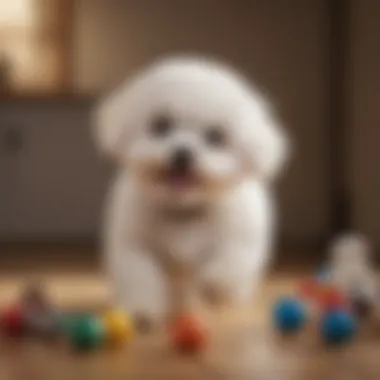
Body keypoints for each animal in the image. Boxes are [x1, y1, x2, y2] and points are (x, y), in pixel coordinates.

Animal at [93, 57, 290, 326]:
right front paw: (143, 310)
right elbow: (140, 274)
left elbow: (231, 261)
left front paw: (215, 284)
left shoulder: (240, 237)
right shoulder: (134, 244)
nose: (183, 153)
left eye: (215, 136)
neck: (184, 210)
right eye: (161, 125)